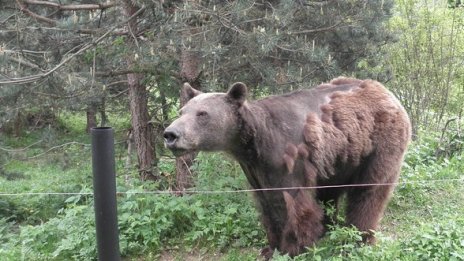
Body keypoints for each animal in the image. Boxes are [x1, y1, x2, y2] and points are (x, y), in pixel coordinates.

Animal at [163, 76, 410, 256]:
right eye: (182, 111)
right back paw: (329, 230)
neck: (255, 144)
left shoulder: (288, 160)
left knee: (369, 192)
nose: (170, 134)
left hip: (378, 147)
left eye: (202, 113)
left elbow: (293, 205)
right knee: (330, 194)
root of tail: (387, 92)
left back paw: (360, 237)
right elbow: (267, 206)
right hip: (337, 159)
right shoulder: (255, 171)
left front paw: (294, 247)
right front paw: (270, 247)